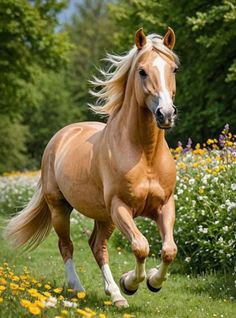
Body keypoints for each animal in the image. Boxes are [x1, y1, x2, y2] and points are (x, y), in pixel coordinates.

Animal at [5, 28, 179, 308]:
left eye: (174, 69)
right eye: (142, 71)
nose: (165, 114)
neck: (145, 154)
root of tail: (61, 136)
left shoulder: (164, 205)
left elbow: (169, 250)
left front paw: (152, 281)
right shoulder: (120, 207)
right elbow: (140, 246)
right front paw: (131, 283)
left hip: (103, 215)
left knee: (98, 247)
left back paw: (116, 294)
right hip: (61, 208)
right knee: (67, 246)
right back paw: (79, 287)